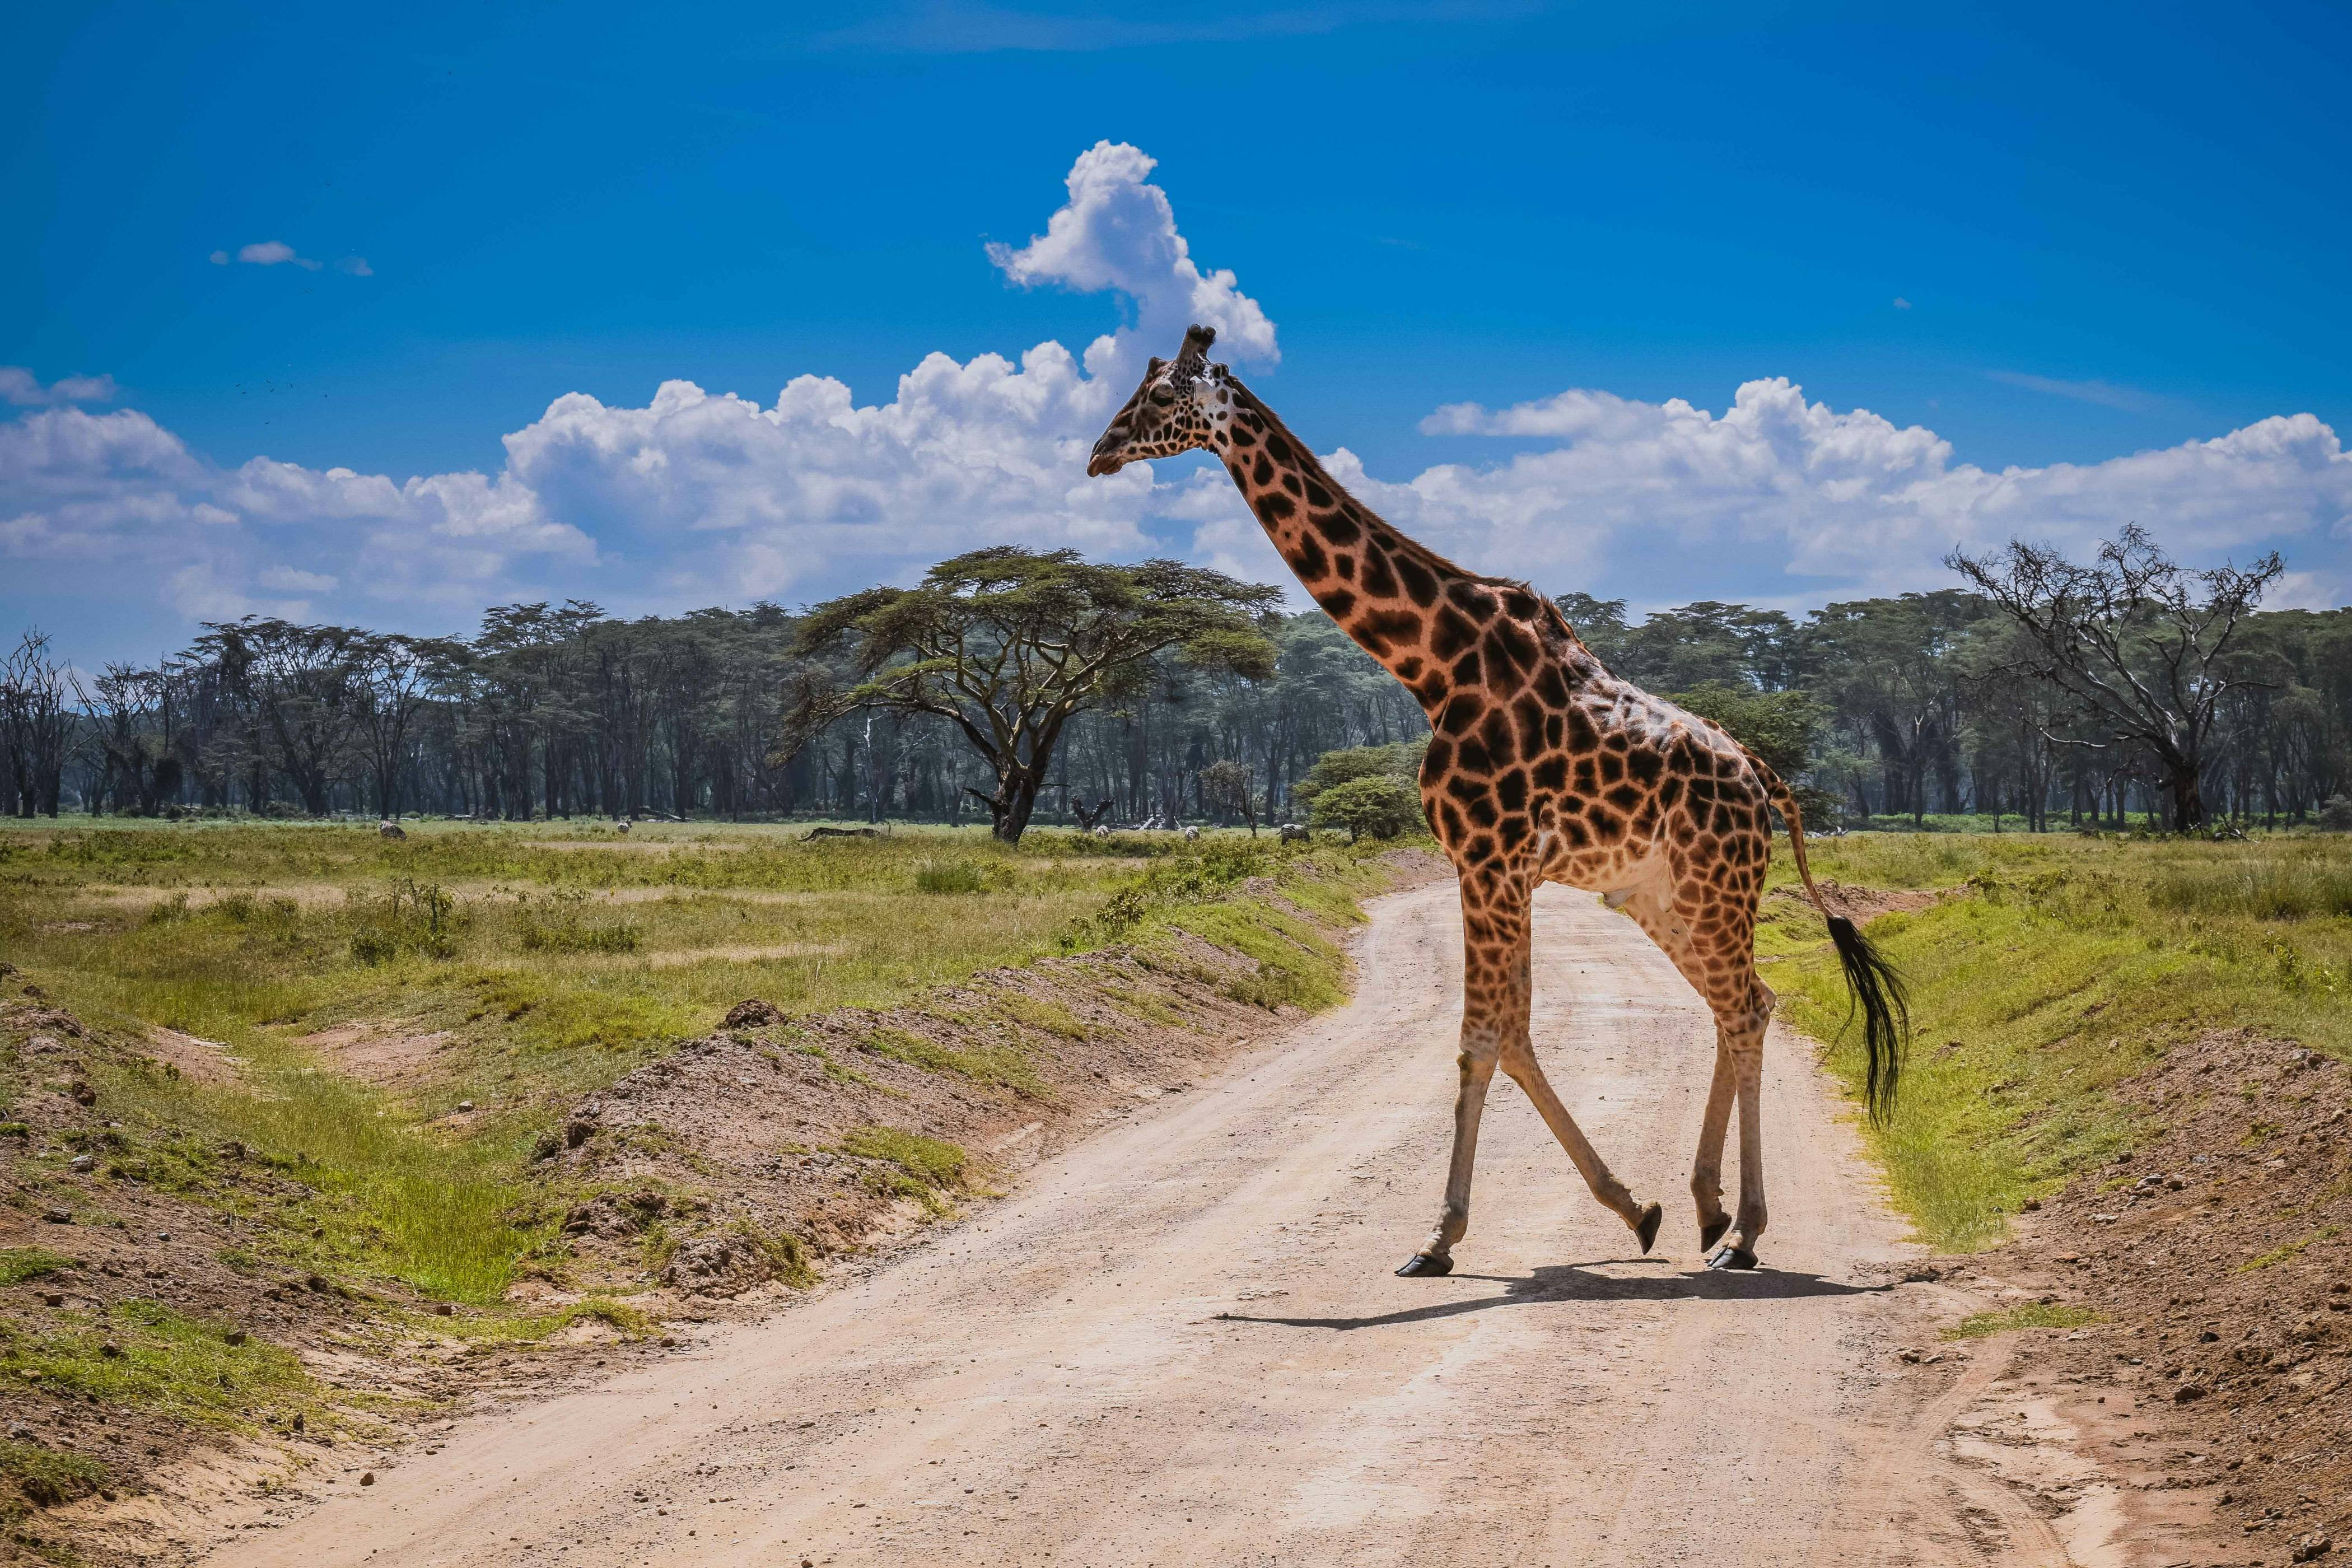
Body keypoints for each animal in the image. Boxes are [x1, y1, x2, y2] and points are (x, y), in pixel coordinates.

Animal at [1087, 325, 1908, 1274]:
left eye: (1157, 398)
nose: (1099, 453)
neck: (1433, 663)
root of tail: (1762, 777)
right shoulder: (1501, 870)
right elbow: (1510, 1035)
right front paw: (1637, 1209)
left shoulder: (1486, 858)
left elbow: (1484, 1040)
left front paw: (1440, 1238)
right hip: (1660, 898)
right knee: (1745, 1006)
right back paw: (1709, 1210)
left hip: (1714, 890)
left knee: (1742, 1009)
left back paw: (1742, 1235)